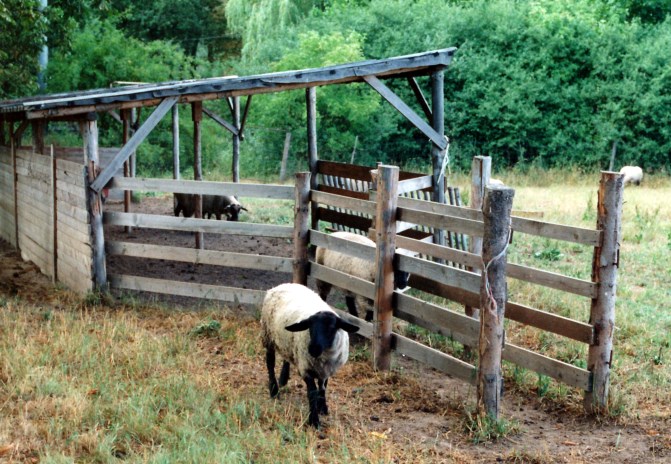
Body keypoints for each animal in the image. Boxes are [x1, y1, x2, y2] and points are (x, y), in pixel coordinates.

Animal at [262, 282, 360, 428]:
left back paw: (283, 378)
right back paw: (274, 390)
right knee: (270, 363)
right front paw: (314, 420)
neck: (323, 356)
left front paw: (323, 407)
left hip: (288, 343)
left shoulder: (326, 369)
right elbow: (312, 393)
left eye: (332, 327)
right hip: (268, 335)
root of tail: (285, 284)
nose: (313, 349)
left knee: (287, 357)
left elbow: (323, 387)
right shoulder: (306, 368)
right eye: (310, 327)